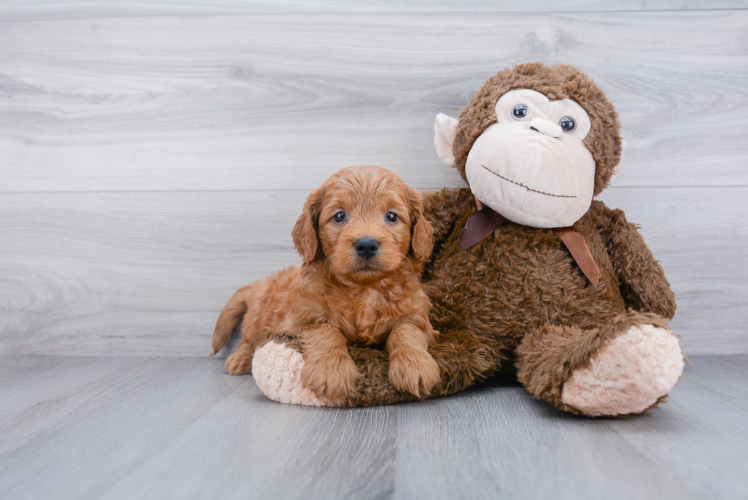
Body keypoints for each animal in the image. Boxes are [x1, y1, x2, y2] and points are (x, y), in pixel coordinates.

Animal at [210, 166, 442, 400]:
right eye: (339, 216)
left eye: (392, 216)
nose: (366, 245)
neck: (364, 290)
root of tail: (261, 283)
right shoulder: (297, 321)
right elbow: (326, 330)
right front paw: (332, 372)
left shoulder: (420, 320)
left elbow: (406, 332)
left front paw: (415, 366)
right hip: (256, 319)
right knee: (248, 340)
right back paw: (240, 359)